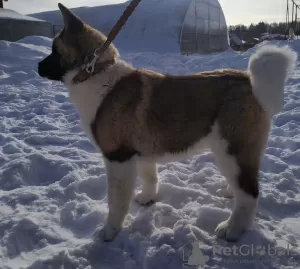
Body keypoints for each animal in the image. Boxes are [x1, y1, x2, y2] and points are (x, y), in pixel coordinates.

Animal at [38, 3, 298, 241]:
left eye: (54, 50)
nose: (38, 66)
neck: (95, 72)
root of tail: (249, 80)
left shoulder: (117, 158)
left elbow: (116, 202)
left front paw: (110, 231)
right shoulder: (141, 153)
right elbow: (150, 177)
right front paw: (148, 198)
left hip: (231, 149)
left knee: (250, 193)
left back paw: (233, 229)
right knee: (242, 185)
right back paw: (228, 193)